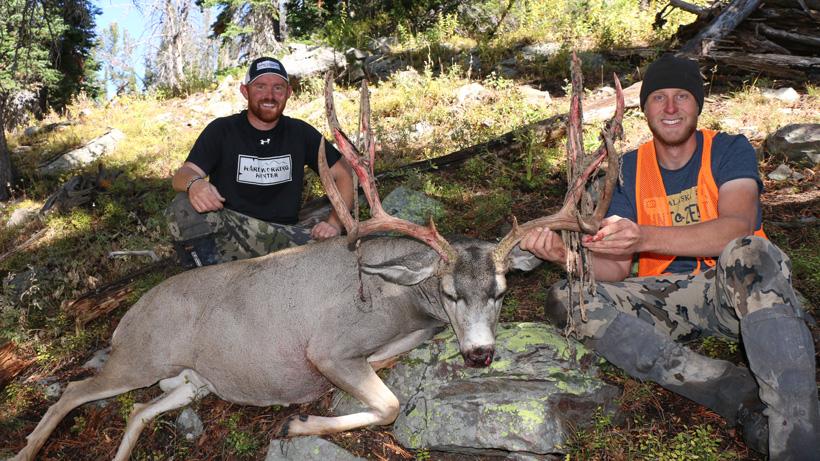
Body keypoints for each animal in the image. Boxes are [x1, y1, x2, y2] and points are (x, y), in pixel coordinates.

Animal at [11, 55, 624, 461]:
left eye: (500, 292)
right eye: (450, 292)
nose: (479, 355)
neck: (400, 299)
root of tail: (127, 318)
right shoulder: (328, 346)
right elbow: (387, 406)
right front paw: (297, 422)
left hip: (191, 379)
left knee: (138, 409)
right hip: (141, 356)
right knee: (74, 391)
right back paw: (25, 449)